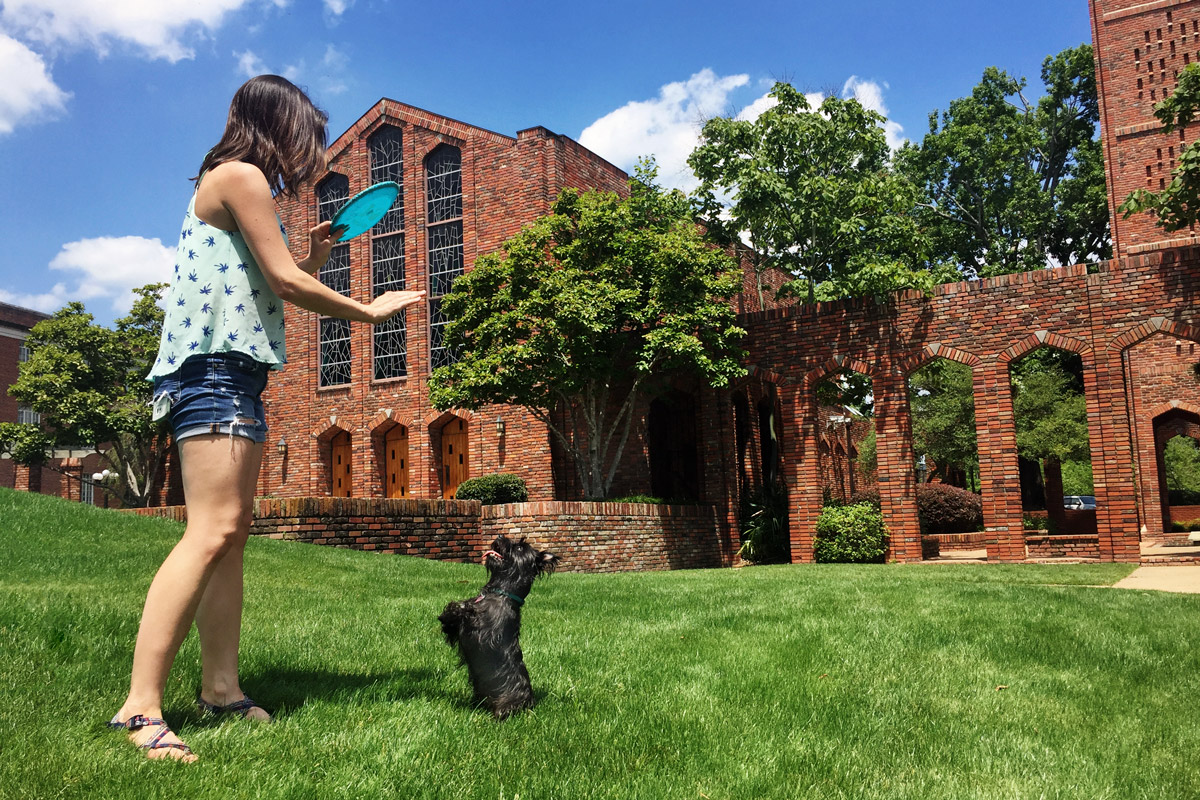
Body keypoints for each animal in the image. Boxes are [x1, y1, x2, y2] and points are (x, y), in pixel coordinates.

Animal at [436, 537, 556, 719]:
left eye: (519, 548)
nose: (499, 537)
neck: (499, 593)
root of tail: (530, 704)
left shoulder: (485, 635)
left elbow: (468, 615)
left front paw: (462, 609)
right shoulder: (456, 630)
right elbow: (450, 621)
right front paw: (454, 611)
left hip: (506, 703)